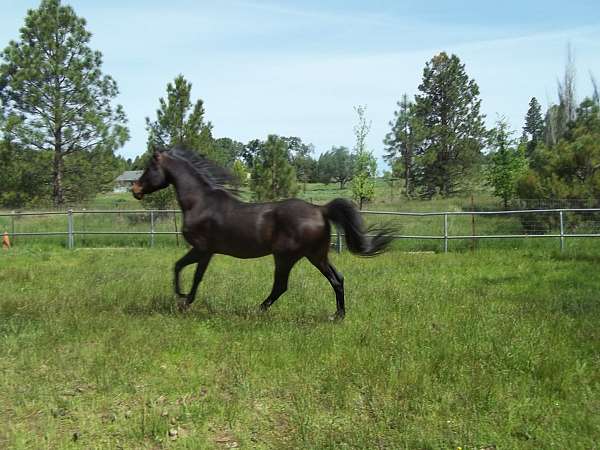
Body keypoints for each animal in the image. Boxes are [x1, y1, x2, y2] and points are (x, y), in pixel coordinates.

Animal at [131, 148, 394, 320]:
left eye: (149, 168)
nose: (135, 189)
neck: (200, 203)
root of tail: (320, 209)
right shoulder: (205, 251)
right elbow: (182, 269)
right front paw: (182, 298)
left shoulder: (203, 249)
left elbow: (190, 273)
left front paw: (184, 300)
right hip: (316, 256)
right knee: (337, 279)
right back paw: (337, 315)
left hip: (286, 257)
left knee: (282, 286)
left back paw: (257, 310)